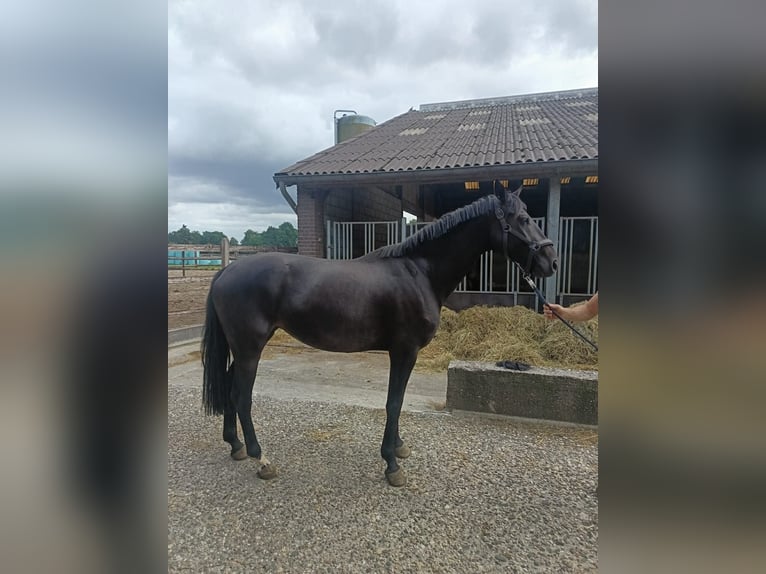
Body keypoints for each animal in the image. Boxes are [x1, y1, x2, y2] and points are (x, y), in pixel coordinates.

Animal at [201, 185, 558, 486]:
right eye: (523, 219)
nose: (551, 262)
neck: (420, 271)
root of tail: (227, 270)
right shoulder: (404, 351)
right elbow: (394, 403)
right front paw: (392, 465)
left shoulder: (403, 353)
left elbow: (396, 402)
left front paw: (398, 447)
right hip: (250, 349)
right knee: (241, 396)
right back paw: (261, 459)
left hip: (241, 349)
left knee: (230, 389)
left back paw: (236, 446)